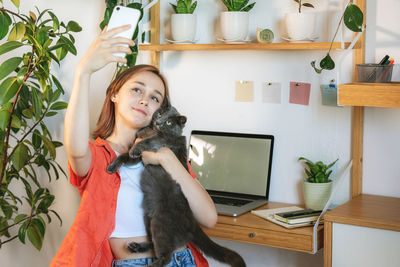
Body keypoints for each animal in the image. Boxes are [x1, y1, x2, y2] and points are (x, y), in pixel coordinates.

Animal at [106, 99, 245, 267]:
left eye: (169, 122)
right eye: (160, 114)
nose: (158, 122)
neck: (153, 131)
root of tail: (192, 222)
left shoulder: (164, 143)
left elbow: (148, 142)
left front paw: (136, 147)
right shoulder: (140, 157)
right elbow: (124, 156)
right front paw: (112, 166)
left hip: (161, 223)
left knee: (167, 256)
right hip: (148, 219)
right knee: (155, 245)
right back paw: (136, 246)